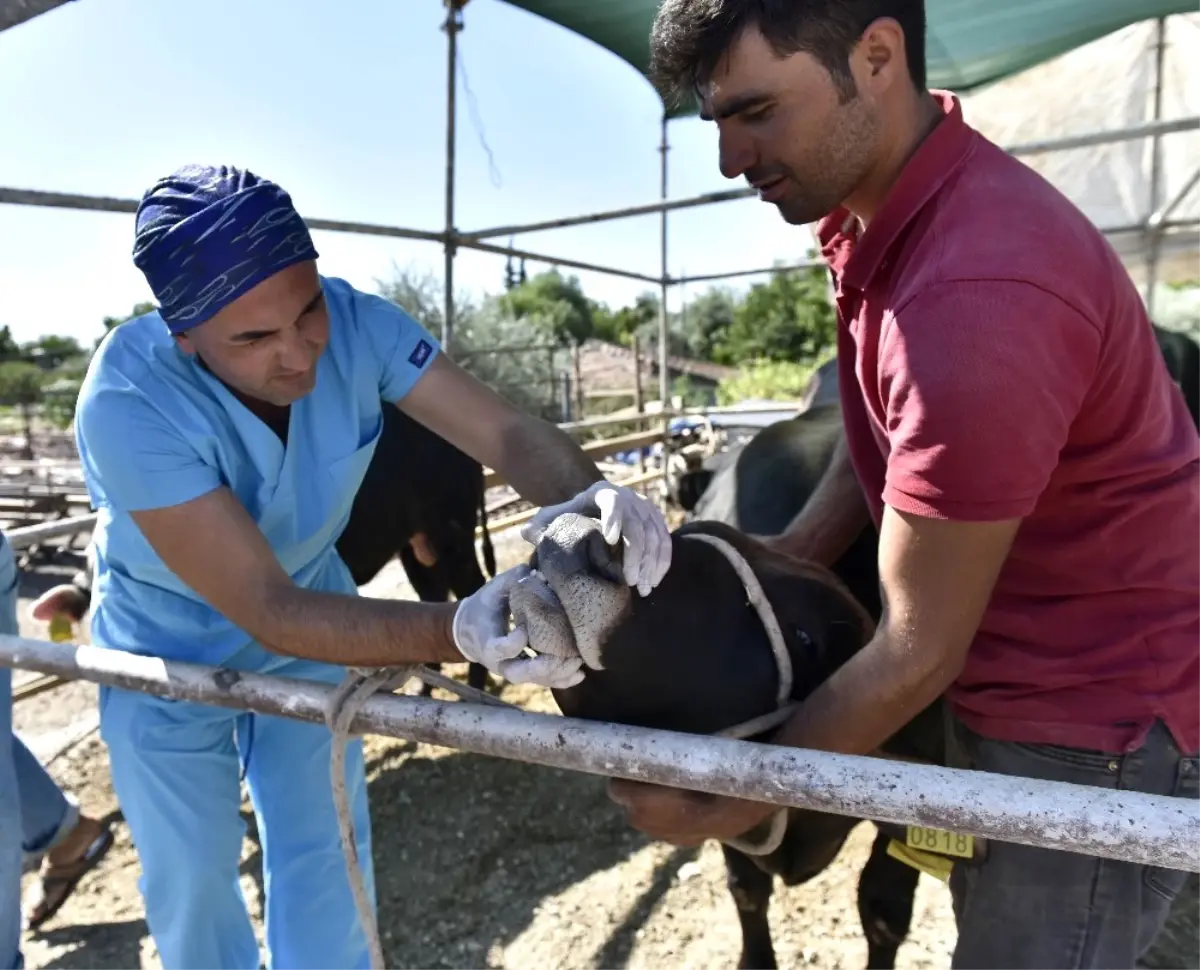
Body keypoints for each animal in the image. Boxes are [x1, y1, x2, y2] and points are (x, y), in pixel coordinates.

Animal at [37, 400, 496, 691]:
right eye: (89, 608)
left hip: (452, 526)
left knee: (470, 586)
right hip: (414, 543)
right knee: (433, 591)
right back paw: (426, 689)